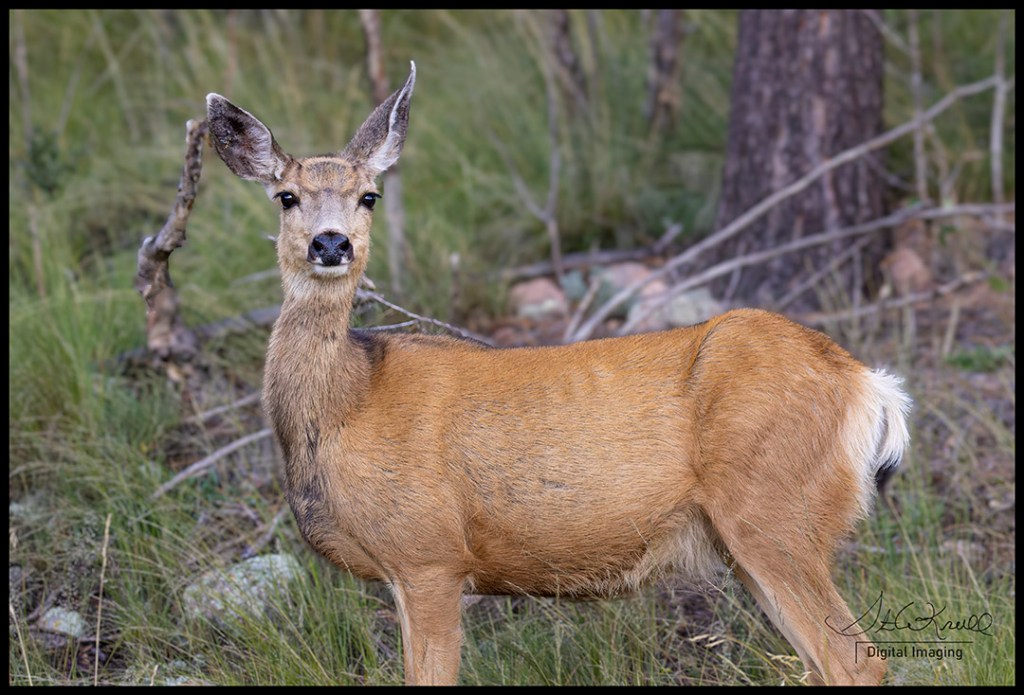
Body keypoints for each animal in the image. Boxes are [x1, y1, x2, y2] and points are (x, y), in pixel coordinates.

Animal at [205, 61, 911, 686]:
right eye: (286, 197)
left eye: (368, 196)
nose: (331, 243)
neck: (349, 403)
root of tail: (869, 385)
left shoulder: (429, 554)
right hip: (750, 537)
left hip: (773, 507)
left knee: (856, 660)